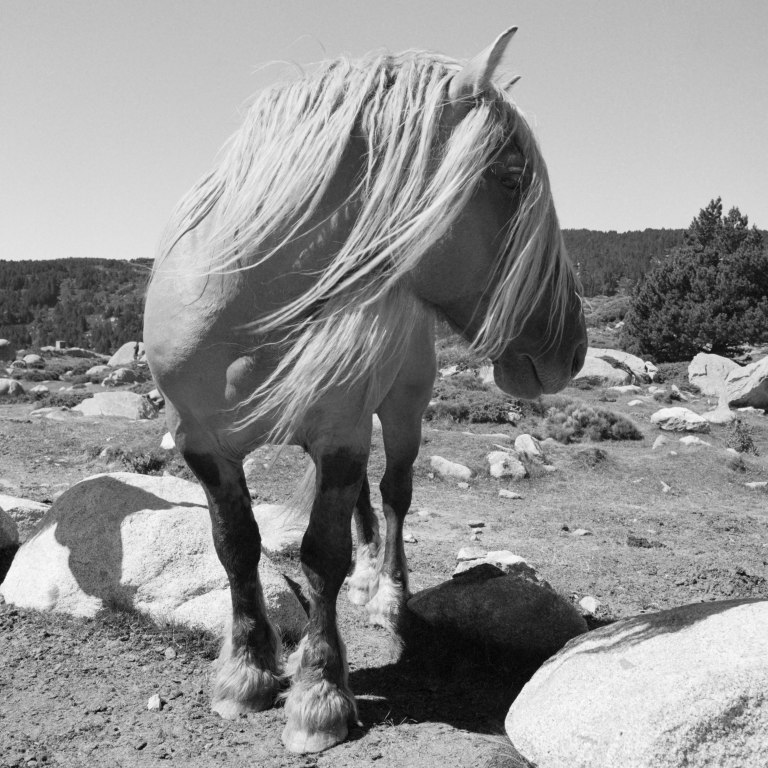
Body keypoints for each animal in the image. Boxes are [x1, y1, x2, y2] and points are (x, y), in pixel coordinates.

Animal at [144, 27, 588, 754]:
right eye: (510, 176)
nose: (571, 346)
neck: (248, 313)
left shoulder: (341, 433)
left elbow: (322, 556)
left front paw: (319, 697)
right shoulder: (201, 442)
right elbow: (236, 546)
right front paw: (246, 673)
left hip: (402, 411)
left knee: (395, 494)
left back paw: (385, 593)